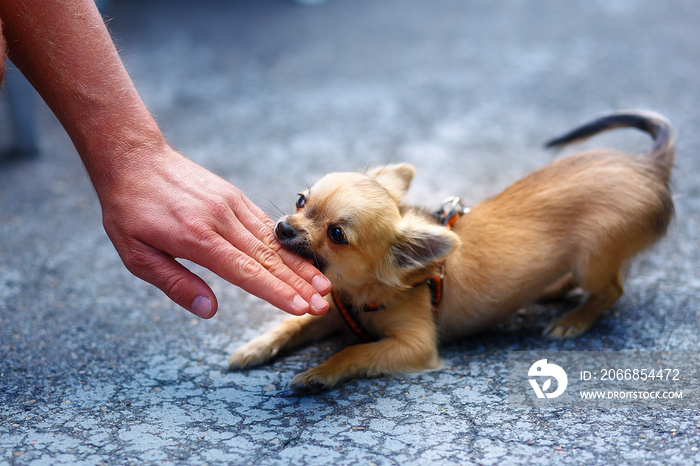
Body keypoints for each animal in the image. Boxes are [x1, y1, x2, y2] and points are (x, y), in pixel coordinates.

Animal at [228, 111, 672, 392]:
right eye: (301, 201)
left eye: (336, 234)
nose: (283, 227)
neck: (361, 293)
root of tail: (650, 166)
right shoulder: (335, 314)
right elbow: (293, 325)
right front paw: (254, 347)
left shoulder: (414, 346)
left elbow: (353, 350)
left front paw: (318, 373)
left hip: (592, 259)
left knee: (611, 290)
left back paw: (574, 319)